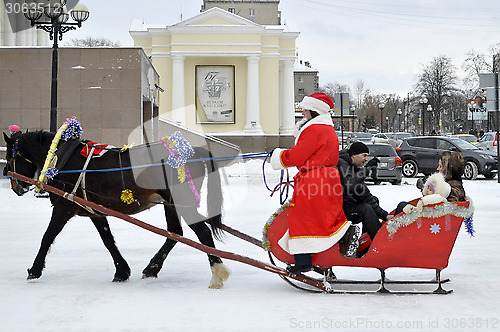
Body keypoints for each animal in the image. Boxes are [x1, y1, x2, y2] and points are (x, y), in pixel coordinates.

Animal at [2, 130, 229, 288]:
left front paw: (35, 270)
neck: (63, 161)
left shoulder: (63, 208)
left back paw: (217, 274)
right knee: (175, 233)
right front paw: (122, 271)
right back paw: (152, 268)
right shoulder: (94, 210)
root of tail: (193, 152)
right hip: (171, 204)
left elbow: (47, 237)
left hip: (182, 201)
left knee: (202, 232)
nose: (14, 185)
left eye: (12, 157)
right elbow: (108, 240)